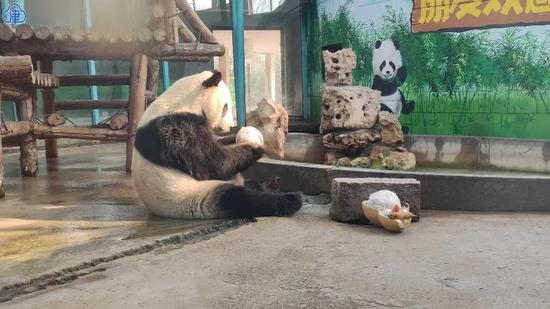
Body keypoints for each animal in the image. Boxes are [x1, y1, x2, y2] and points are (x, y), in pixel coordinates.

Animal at [133, 70, 304, 219]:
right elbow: (213, 164)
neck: (183, 100)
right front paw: (255, 144)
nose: (228, 127)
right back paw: (291, 199)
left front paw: (235, 136)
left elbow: (217, 145)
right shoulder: (178, 126)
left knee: (248, 187)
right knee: (237, 199)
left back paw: (271, 184)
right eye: (226, 107)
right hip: (193, 196)